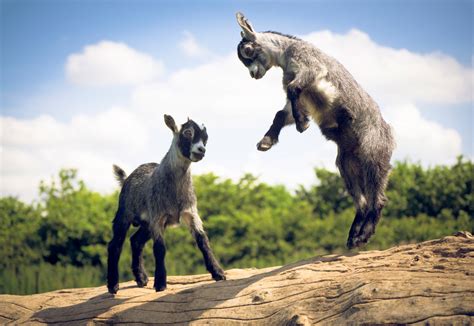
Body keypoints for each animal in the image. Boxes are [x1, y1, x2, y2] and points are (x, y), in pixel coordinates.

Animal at [107, 115, 226, 296]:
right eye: (187, 132)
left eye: (206, 137)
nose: (201, 150)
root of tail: (127, 177)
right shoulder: (158, 217)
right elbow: (160, 248)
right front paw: (160, 283)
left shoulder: (190, 213)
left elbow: (203, 240)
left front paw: (218, 272)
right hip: (124, 214)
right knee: (115, 244)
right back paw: (113, 285)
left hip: (146, 223)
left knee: (136, 241)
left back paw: (141, 278)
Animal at [235, 11, 394, 248]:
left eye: (247, 50)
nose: (253, 74)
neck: (286, 52)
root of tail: (389, 135)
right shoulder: (298, 95)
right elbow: (281, 113)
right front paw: (266, 141)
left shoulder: (311, 67)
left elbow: (294, 89)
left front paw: (302, 124)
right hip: (347, 163)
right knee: (362, 201)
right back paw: (353, 236)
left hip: (373, 154)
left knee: (378, 198)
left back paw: (364, 235)